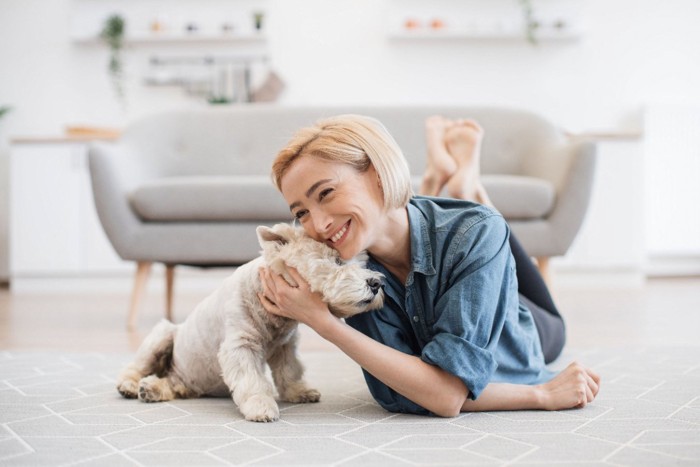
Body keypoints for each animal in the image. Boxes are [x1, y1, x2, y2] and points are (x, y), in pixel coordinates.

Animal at [117, 221, 386, 422]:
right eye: (337, 261)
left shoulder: (285, 346)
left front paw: (299, 391)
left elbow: (290, 371)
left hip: (183, 377)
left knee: (173, 385)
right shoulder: (240, 345)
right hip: (162, 334)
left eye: (362, 262)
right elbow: (252, 380)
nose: (376, 284)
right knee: (137, 367)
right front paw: (261, 407)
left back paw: (153, 389)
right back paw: (131, 386)